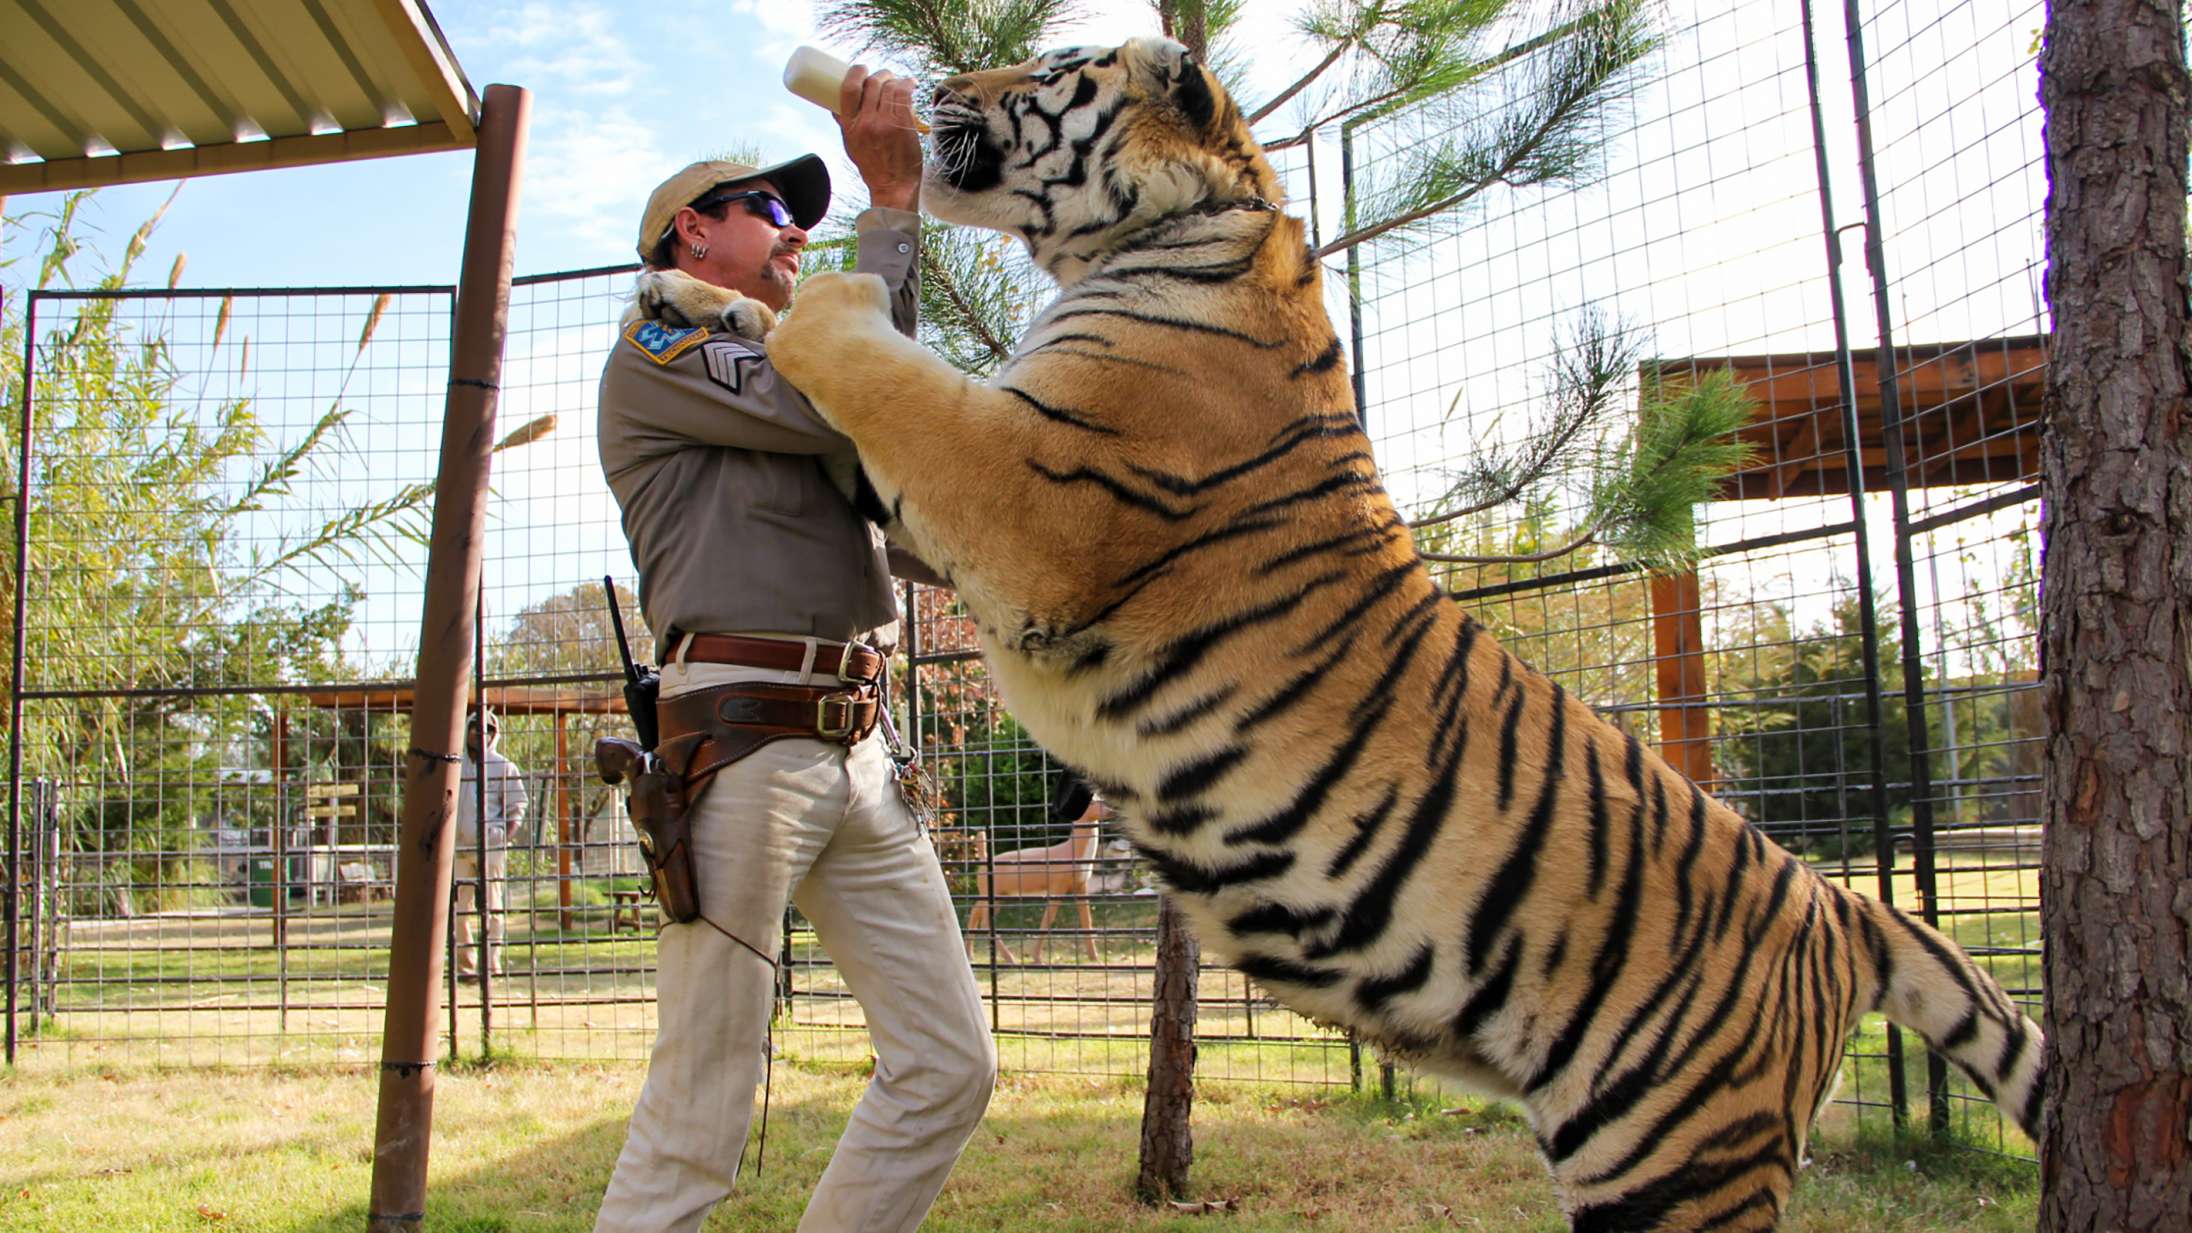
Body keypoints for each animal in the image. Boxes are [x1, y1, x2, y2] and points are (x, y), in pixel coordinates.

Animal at [642, 36, 2046, 1232]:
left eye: (1043, 68)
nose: (929, 85)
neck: (1162, 234)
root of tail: (1836, 908)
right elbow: (793, 353)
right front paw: (679, 287)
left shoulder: (1024, 492)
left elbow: (870, 356)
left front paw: (810, 293)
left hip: (1674, 1158)